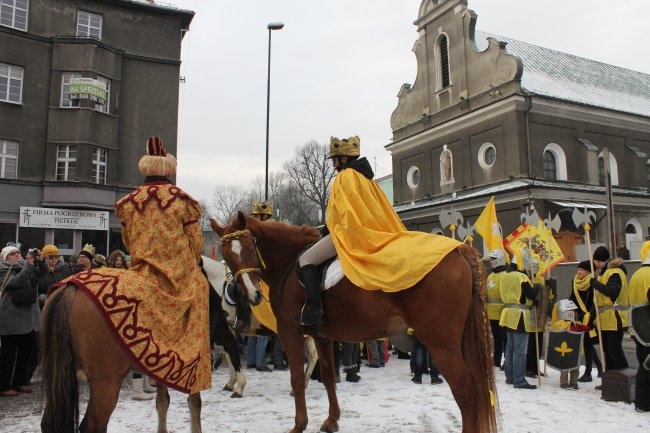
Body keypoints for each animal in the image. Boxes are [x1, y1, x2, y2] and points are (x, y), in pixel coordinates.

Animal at [39, 284, 201, 432]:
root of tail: (71, 289)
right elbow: (195, 404)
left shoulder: (163, 369)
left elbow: (163, 403)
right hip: (106, 382)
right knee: (92, 426)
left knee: (47, 423)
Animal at [211, 212, 496, 432]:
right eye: (227, 255)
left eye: (250, 247)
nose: (252, 295)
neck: (290, 264)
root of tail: (458, 250)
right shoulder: (321, 336)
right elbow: (328, 377)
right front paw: (331, 421)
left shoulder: (290, 332)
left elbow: (296, 379)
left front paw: (299, 424)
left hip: (442, 345)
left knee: (466, 391)